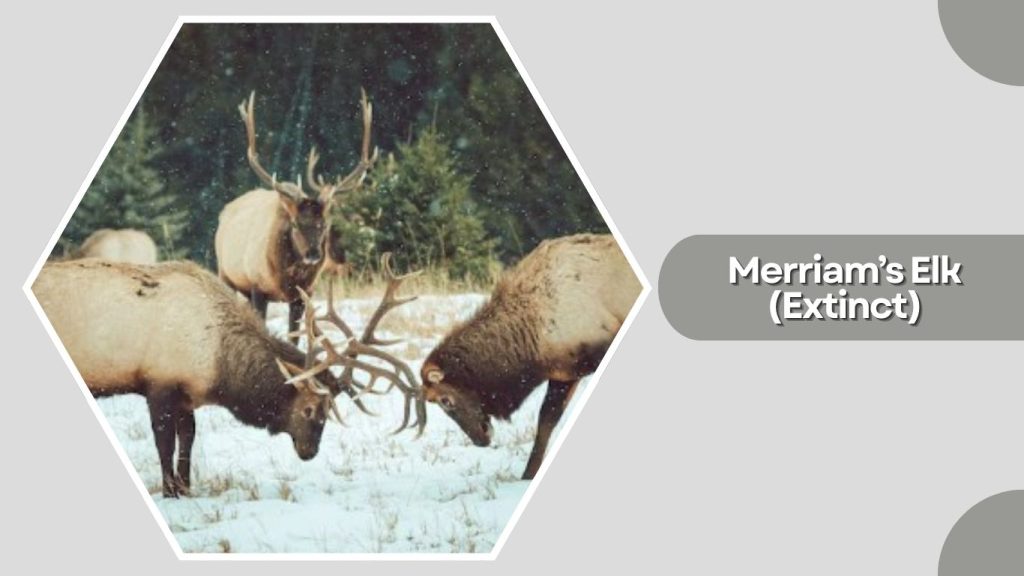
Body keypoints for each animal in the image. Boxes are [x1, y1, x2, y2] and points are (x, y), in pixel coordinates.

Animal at [32, 256, 424, 498]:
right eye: (311, 409)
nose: (310, 452)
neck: (219, 364)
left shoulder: (186, 394)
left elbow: (188, 438)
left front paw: (186, 487)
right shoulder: (159, 384)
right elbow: (164, 442)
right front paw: (170, 490)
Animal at [215, 89, 377, 342]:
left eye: (325, 224)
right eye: (295, 224)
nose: (313, 254)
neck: (288, 279)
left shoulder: (303, 295)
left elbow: (295, 336)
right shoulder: (258, 287)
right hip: (225, 275)